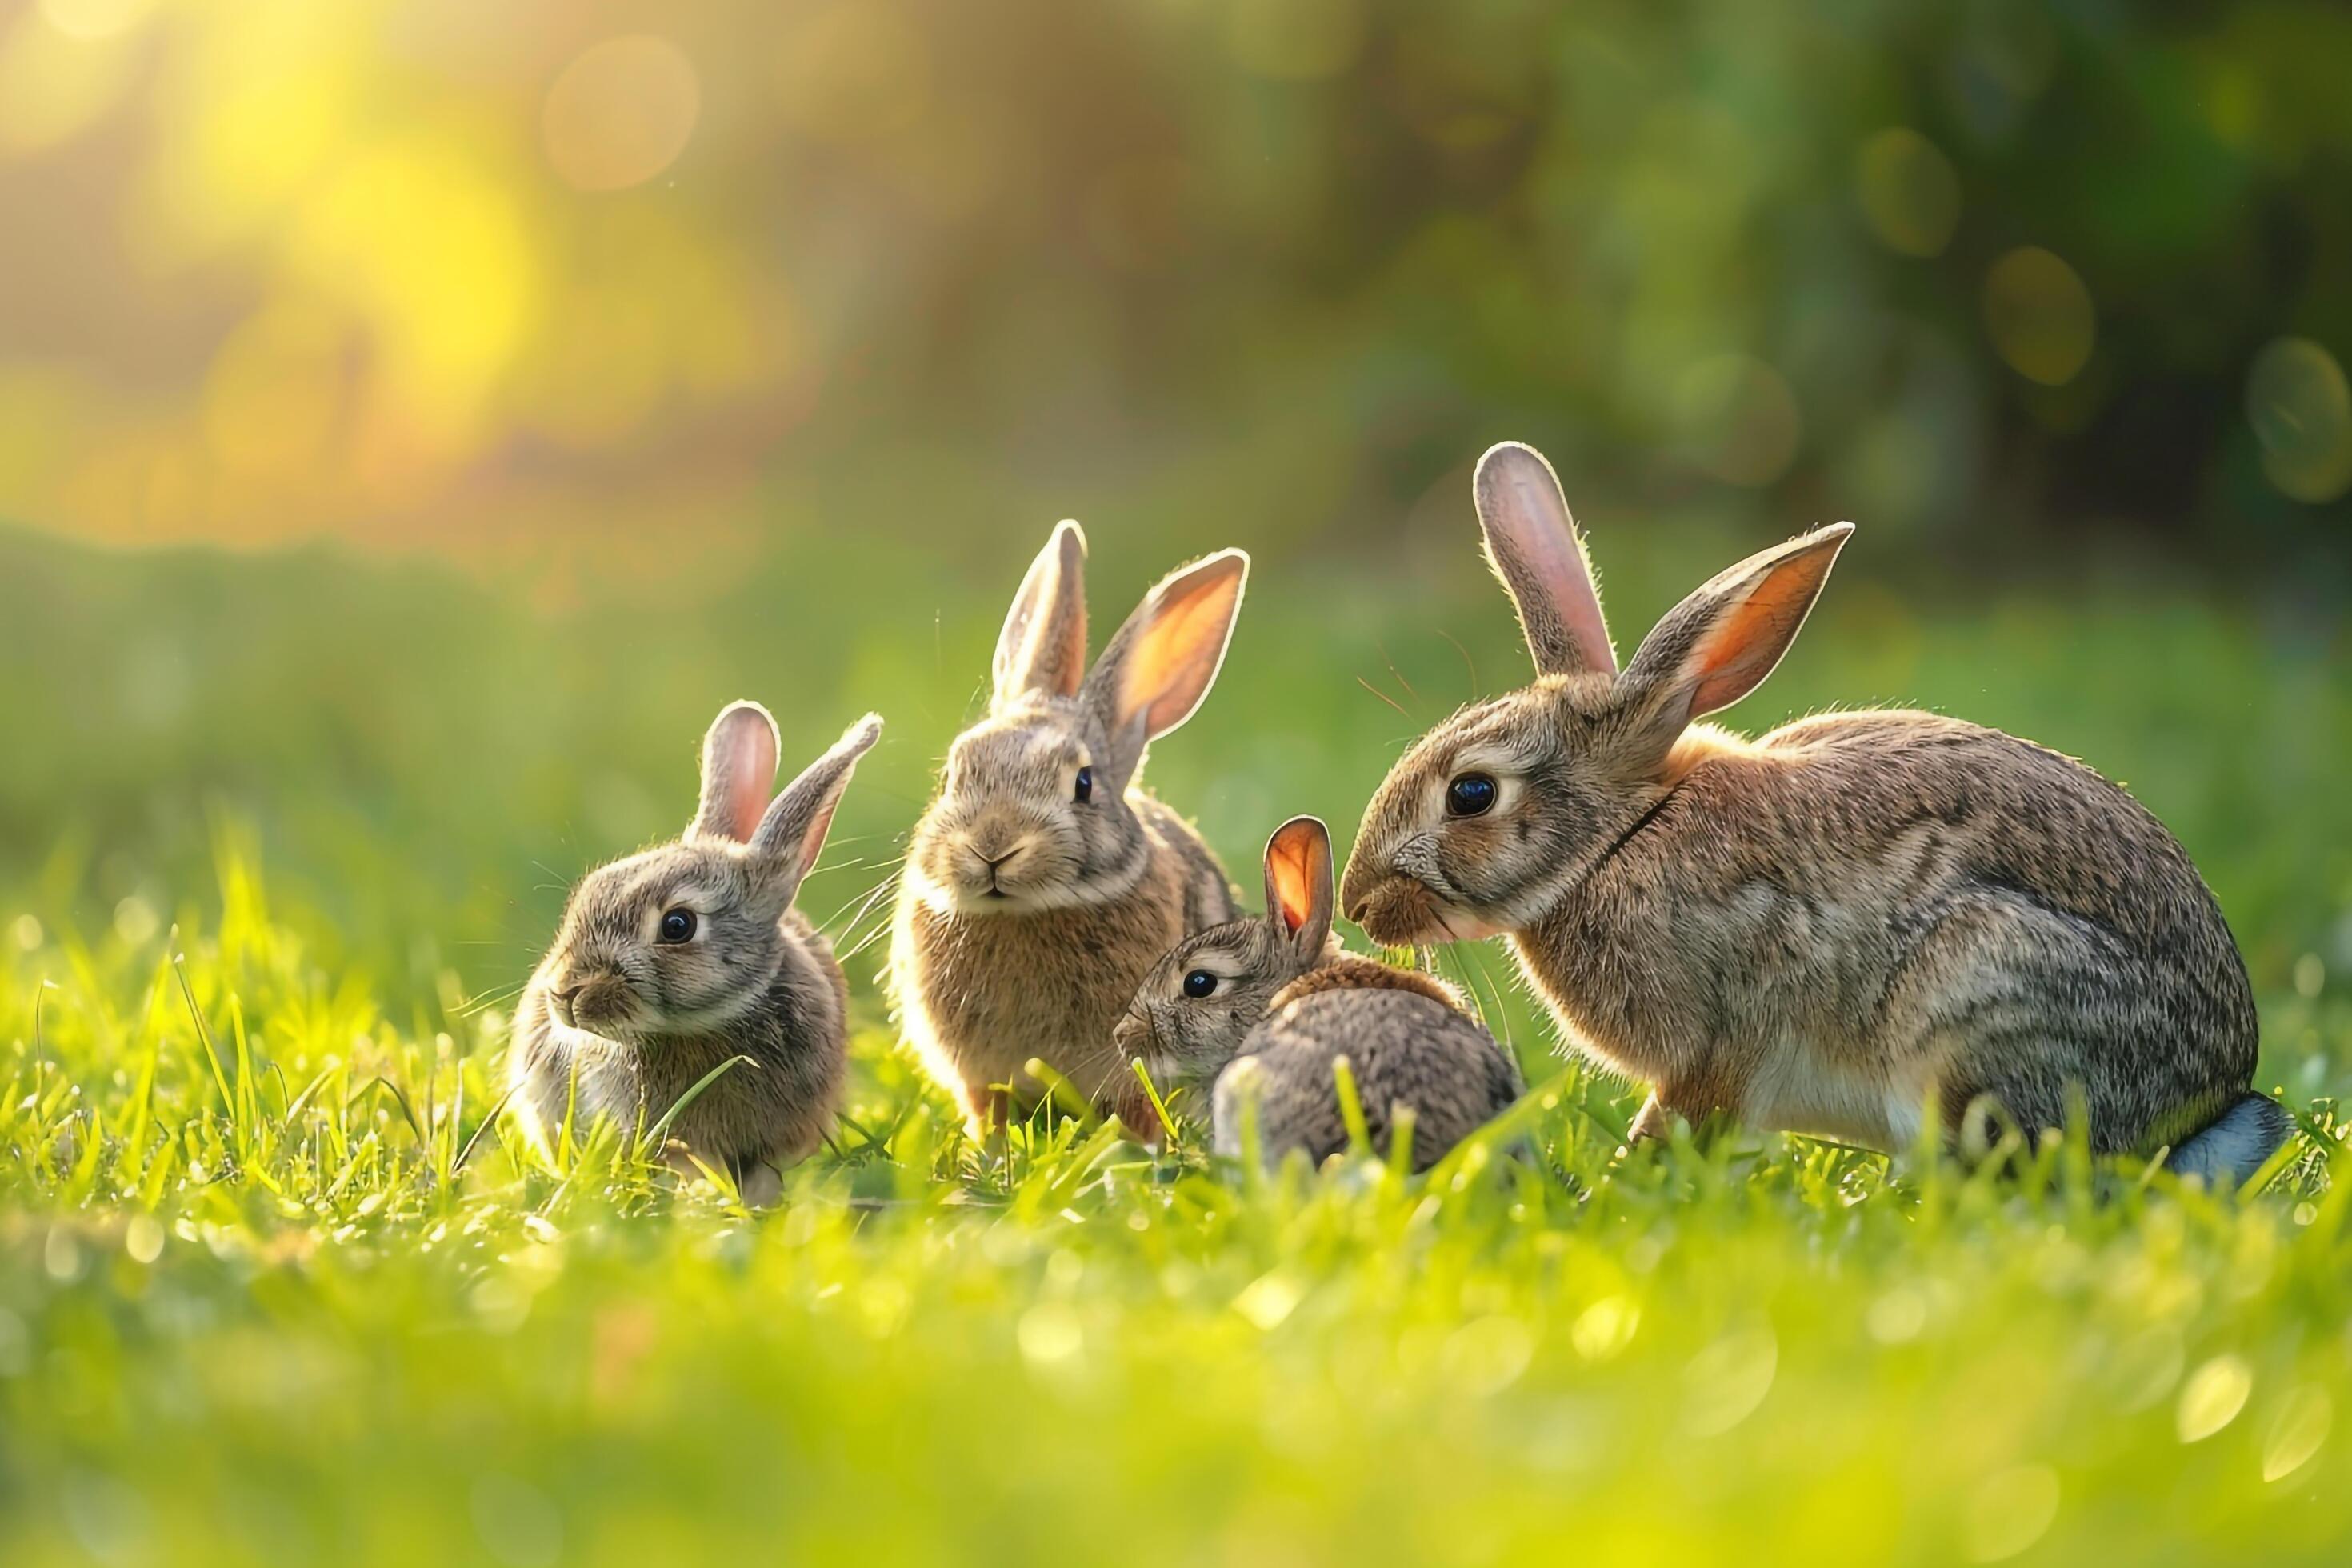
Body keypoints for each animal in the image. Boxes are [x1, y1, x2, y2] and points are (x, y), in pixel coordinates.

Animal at [884, 522, 1251, 1133]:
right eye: (952, 774)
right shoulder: (978, 1076)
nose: (993, 846)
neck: (1023, 913)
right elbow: (988, 1112)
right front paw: (984, 1152)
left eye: (1084, 784)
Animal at [1354, 434, 2286, 1185]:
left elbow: (1677, 1118)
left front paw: (1612, 1189)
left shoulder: (1722, 1036)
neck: (1622, 839)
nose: (1360, 904)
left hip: (1972, 999)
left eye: (1472, 793)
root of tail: (2210, 1105)